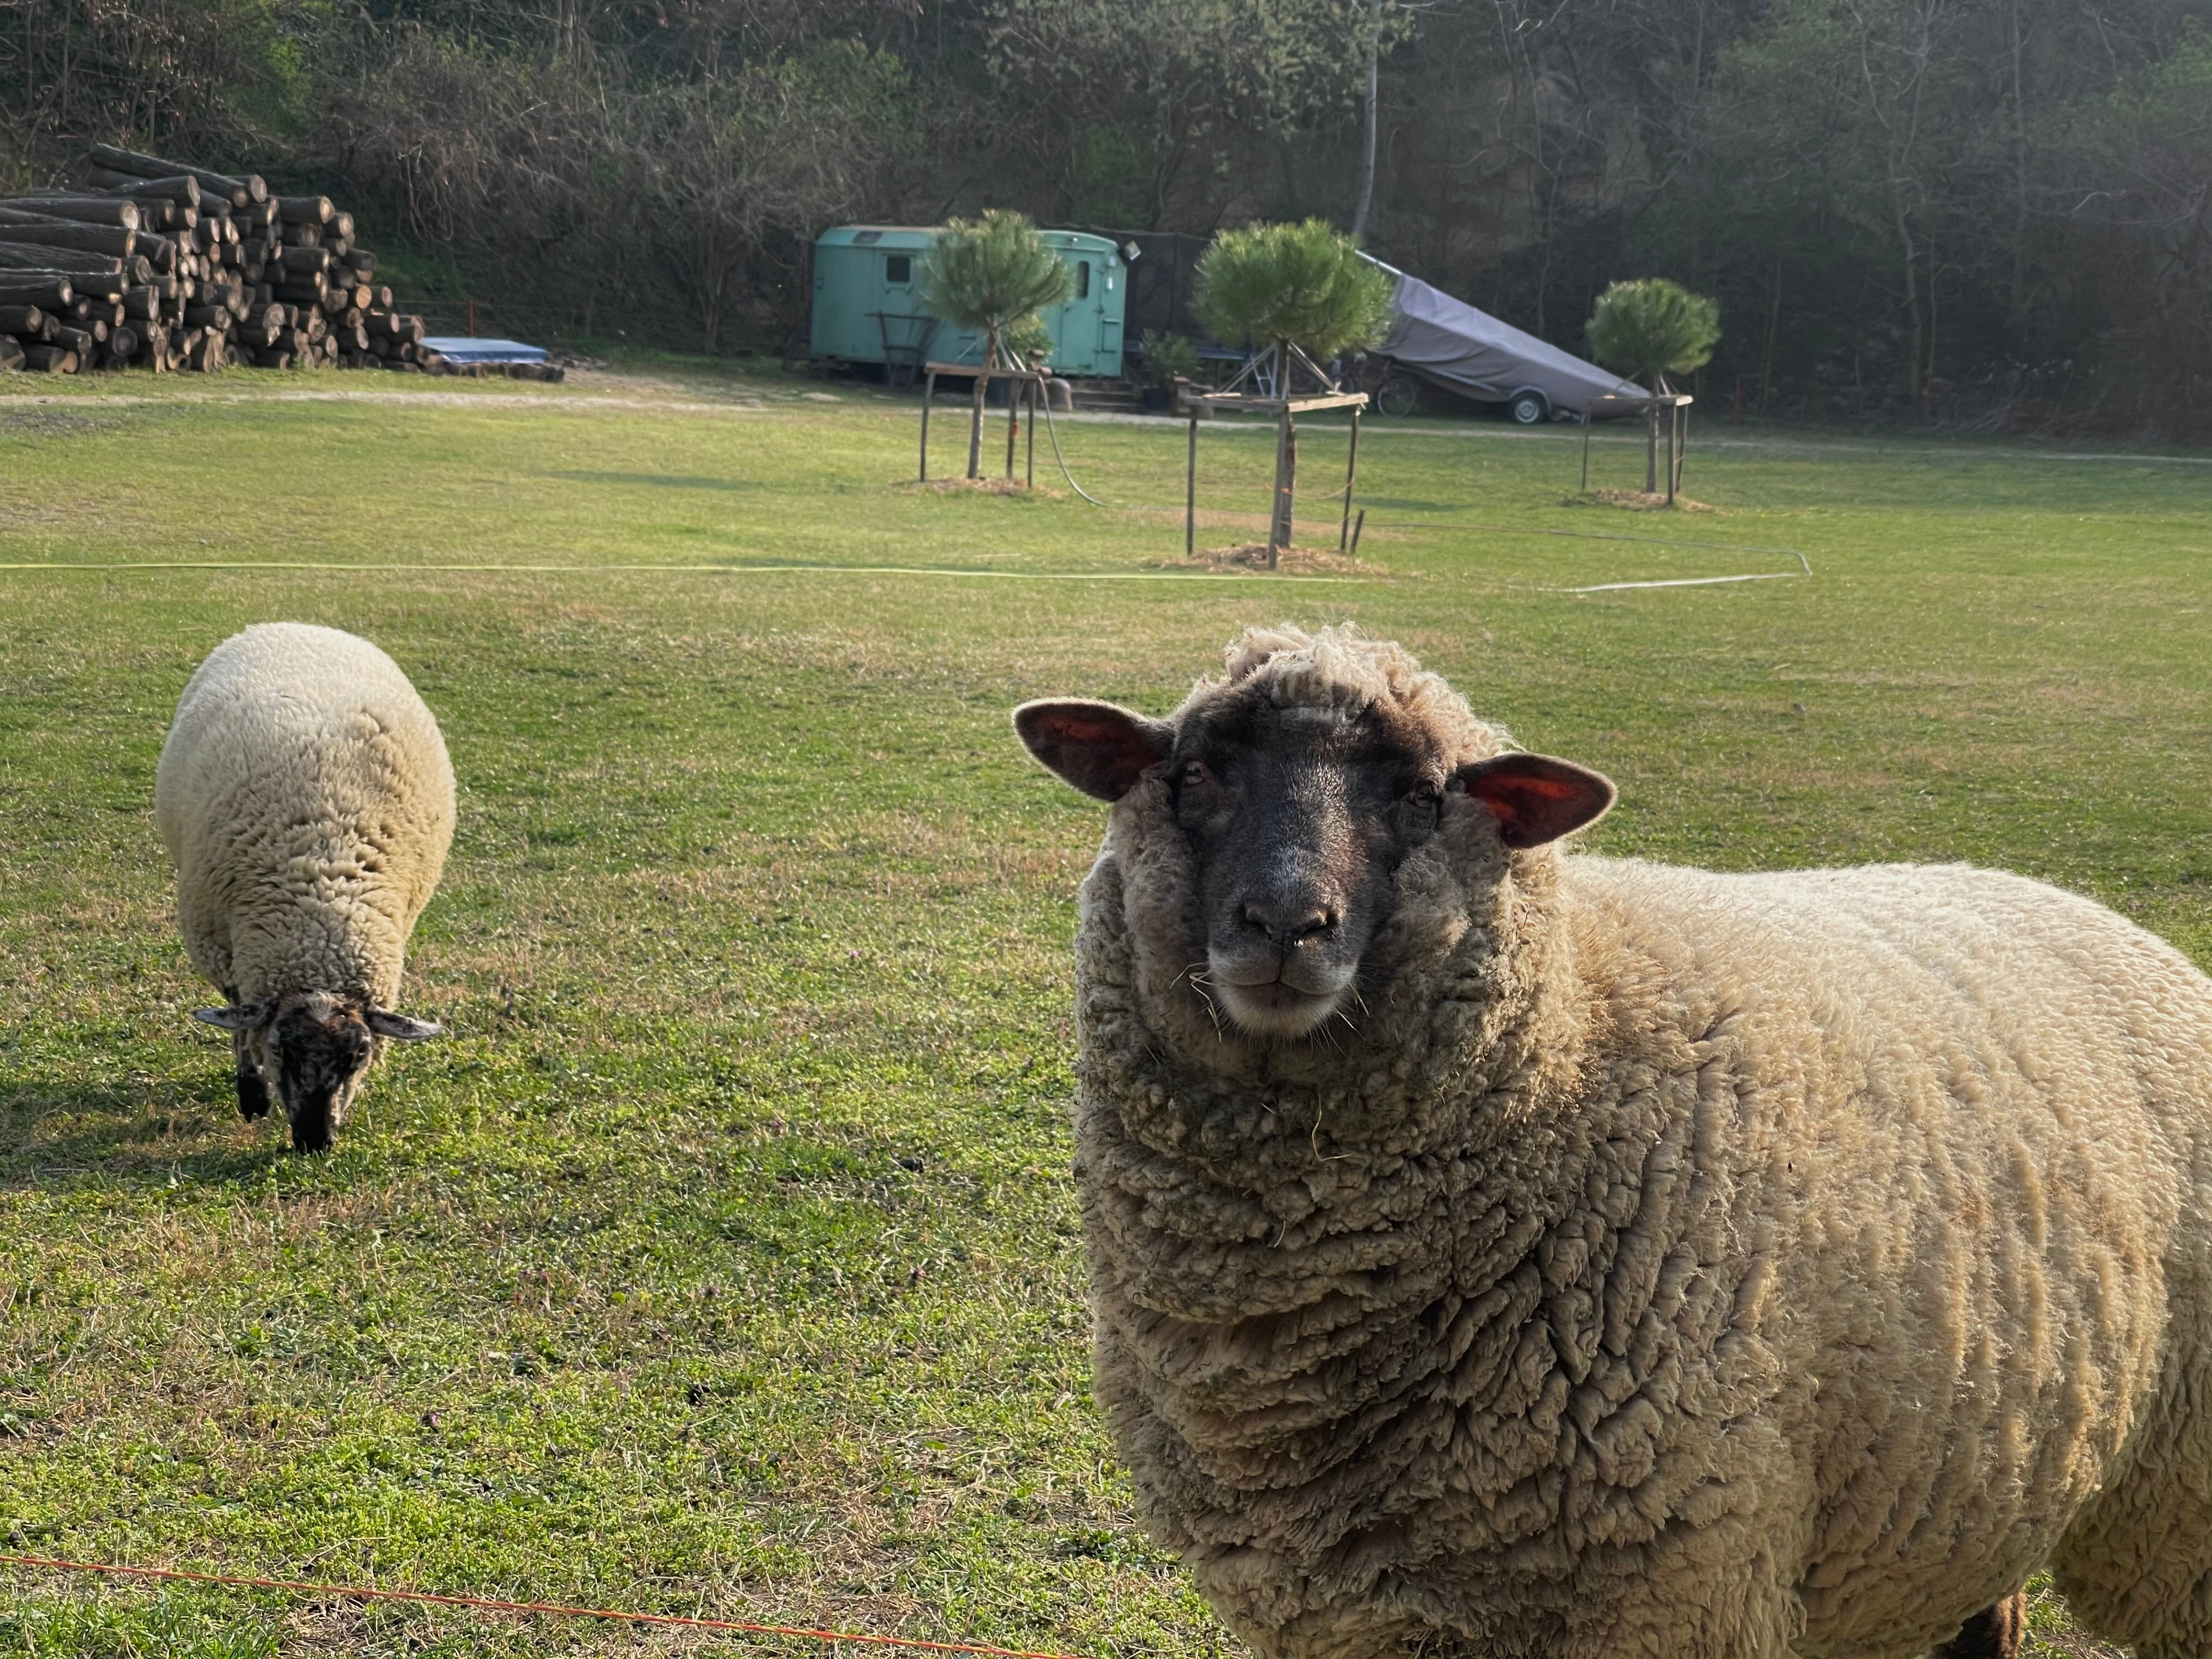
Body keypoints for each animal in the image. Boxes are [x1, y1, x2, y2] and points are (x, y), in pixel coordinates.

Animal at [156, 622, 454, 1153]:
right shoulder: (225, 953)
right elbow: (239, 1025)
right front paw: (252, 1096)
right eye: (279, 1049)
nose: (315, 1141)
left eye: (359, 1055)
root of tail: (296, 625)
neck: (323, 904)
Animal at [1013, 623, 2212, 1659]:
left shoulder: (1667, 1590)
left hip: (2176, 1510)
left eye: (1421, 794)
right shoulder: (1351, 1614)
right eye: (1195, 775)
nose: (1282, 925)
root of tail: (2084, 908)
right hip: (1965, 1487)